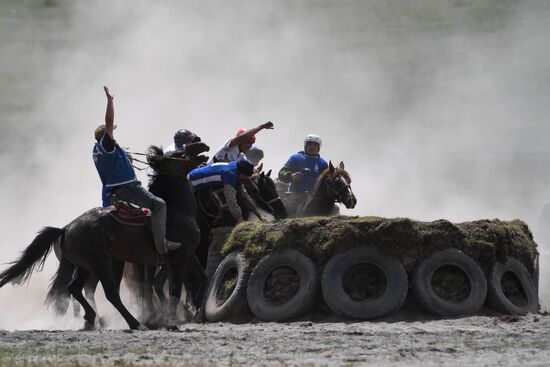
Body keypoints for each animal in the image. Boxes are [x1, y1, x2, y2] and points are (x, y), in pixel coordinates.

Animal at [0, 143, 210, 330]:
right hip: (100, 264)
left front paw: (196, 309)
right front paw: (173, 321)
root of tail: (66, 228)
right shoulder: (179, 257)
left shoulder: (188, 255)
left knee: (75, 289)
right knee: (109, 293)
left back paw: (91, 318)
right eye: (179, 154)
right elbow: (175, 291)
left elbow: (203, 277)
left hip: (86, 266)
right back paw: (134, 323)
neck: (177, 211)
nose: (202, 145)